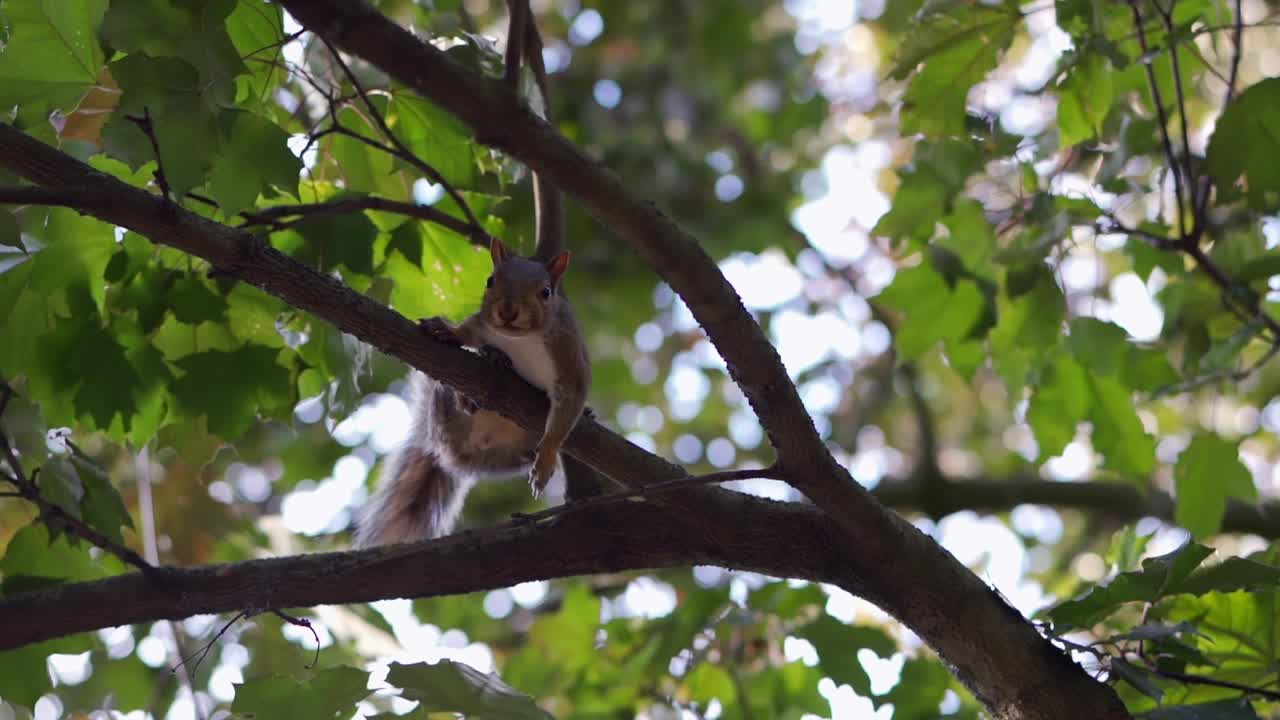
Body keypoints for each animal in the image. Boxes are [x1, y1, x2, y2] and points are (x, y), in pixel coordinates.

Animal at [353, 236, 591, 547]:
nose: (507, 311)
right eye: (490, 281)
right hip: (444, 406)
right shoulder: (482, 324)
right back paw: (478, 381)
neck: (522, 339)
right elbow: (467, 332)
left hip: (505, 456)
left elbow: (569, 403)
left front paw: (546, 459)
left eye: (546, 292)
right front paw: (448, 330)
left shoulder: (569, 356)